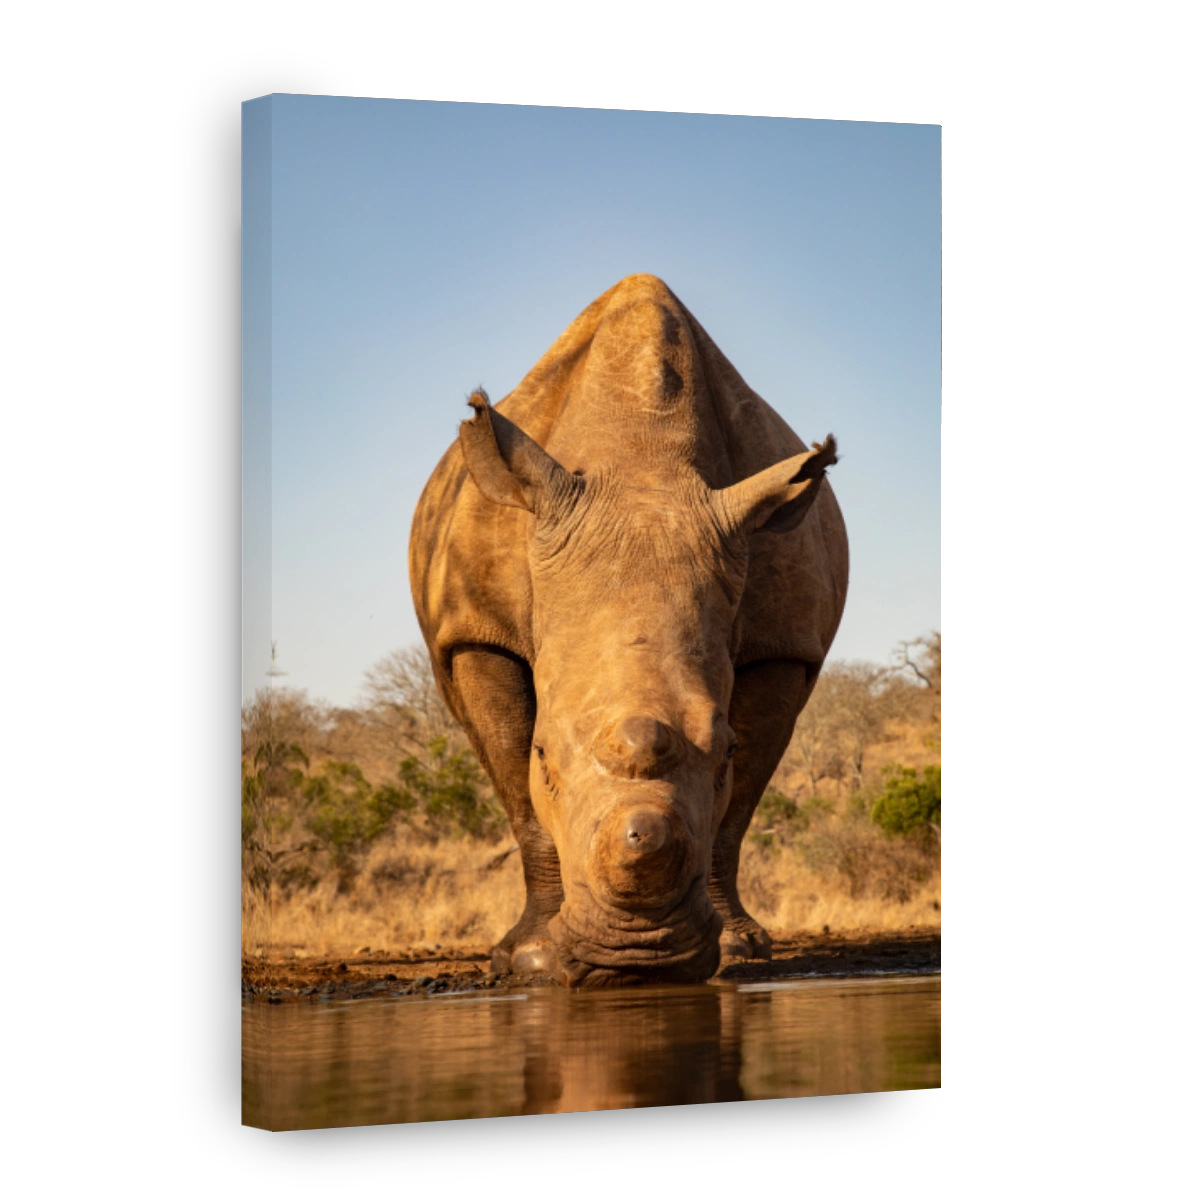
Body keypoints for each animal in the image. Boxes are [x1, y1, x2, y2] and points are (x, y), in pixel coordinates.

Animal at [408, 274, 848, 987]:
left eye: (724, 750)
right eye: (544, 755)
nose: (639, 957)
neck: (642, 462)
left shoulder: (784, 644)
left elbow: (737, 807)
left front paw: (736, 950)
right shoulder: (474, 630)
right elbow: (518, 791)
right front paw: (531, 959)